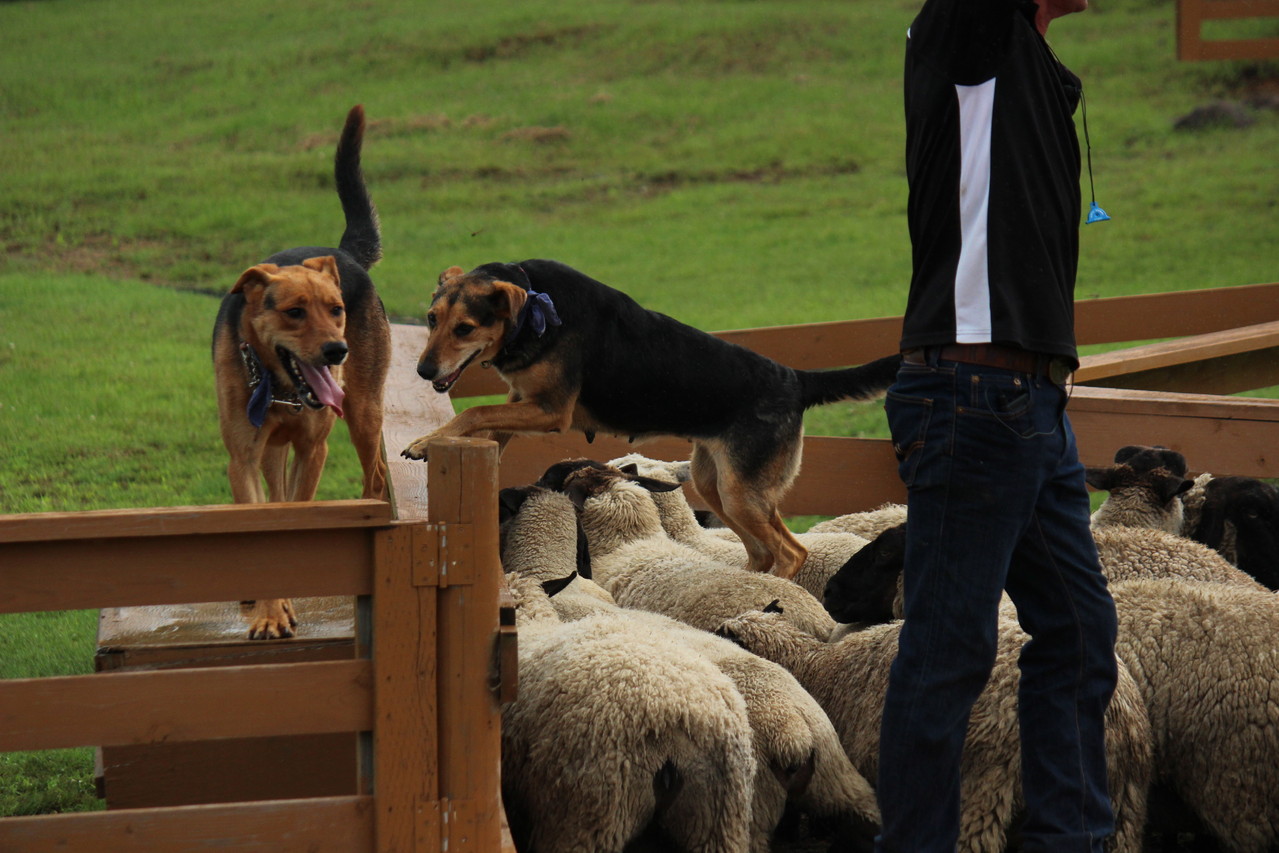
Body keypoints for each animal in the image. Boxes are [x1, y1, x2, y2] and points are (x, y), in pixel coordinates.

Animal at [213, 104, 388, 639]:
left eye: (335, 309)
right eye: (293, 312)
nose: (337, 350)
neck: (280, 385)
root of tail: (344, 253)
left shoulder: (314, 449)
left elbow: (295, 518)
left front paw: (281, 605)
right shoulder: (244, 457)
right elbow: (266, 522)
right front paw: (270, 609)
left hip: (363, 414)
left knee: (374, 475)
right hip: (273, 451)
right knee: (277, 493)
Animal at [401, 258, 900, 580]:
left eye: (465, 328)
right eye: (431, 318)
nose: (422, 371)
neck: (534, 314)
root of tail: (796, 379)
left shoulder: (550, 410)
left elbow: (476, 409)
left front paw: (423, 442)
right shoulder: (523, 398)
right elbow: (486, 421)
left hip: (740, 494)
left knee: (791, 552)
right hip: (715, 485)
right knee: (761, 551)